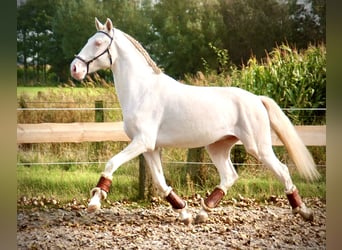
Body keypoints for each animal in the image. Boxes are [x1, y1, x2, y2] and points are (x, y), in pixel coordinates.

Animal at [70, 17, 320, 225]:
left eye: (99, 43)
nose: (75, 68)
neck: (142, 91)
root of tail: (257, 99)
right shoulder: (150, 148)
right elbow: (160, 183)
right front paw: (184, 214)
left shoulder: (142, 142)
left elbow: (112, 163)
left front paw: (94, 202)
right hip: (217, 146)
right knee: (230, 175)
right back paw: (202, 213)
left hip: (258, 148)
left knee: (282, 170)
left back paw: (304, 212)